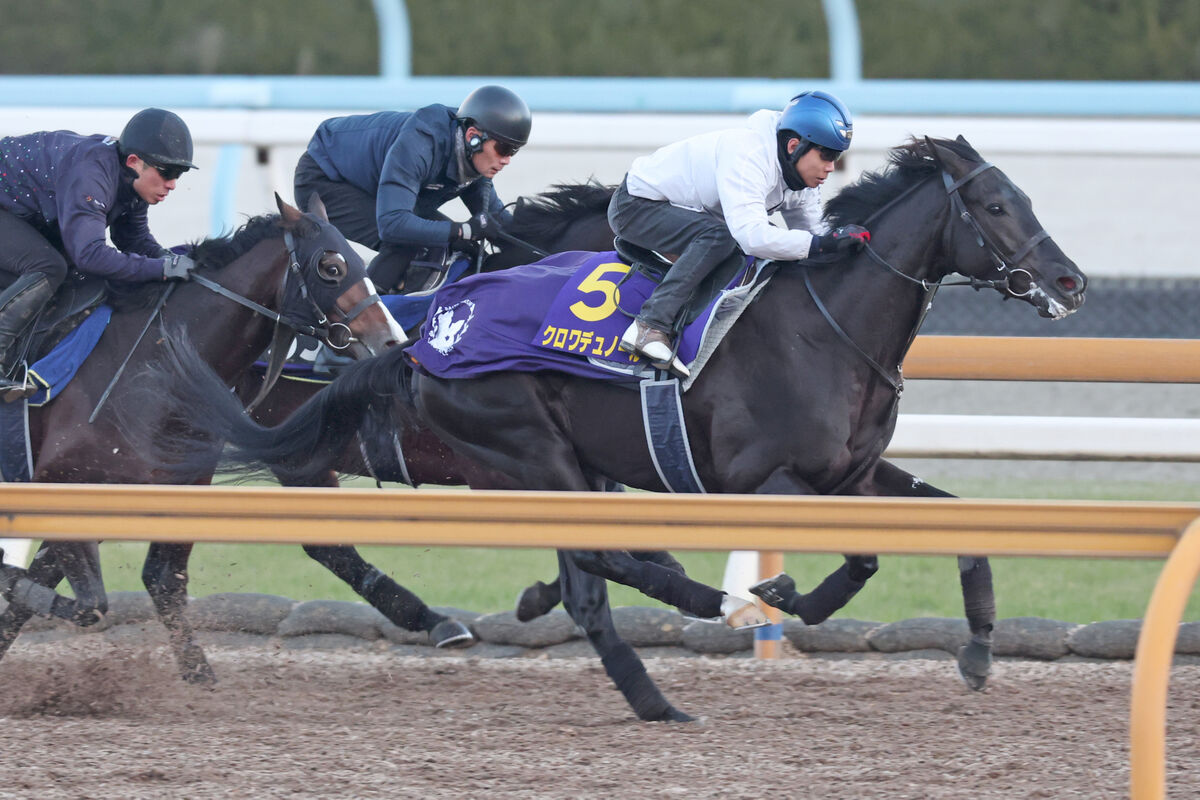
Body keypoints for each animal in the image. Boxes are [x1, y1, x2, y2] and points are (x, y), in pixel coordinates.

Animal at [0, 194, 403, 681]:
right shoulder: (61, 483)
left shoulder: (168, 492)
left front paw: (201, 681)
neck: (152, 370)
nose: (393, 341)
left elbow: (158, 585)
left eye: (360, 261)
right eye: (331, 267)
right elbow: (87, 602)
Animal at [131, 139, 1089, 724]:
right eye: (995, 206)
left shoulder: (852, 473)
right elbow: (856, 556)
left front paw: (976, 651)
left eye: (1024, 197)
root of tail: (428, 338)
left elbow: (951, 520)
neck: (825, 324)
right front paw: (778, 597)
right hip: (517, 451)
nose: (1070, 281)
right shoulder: (756, 478)